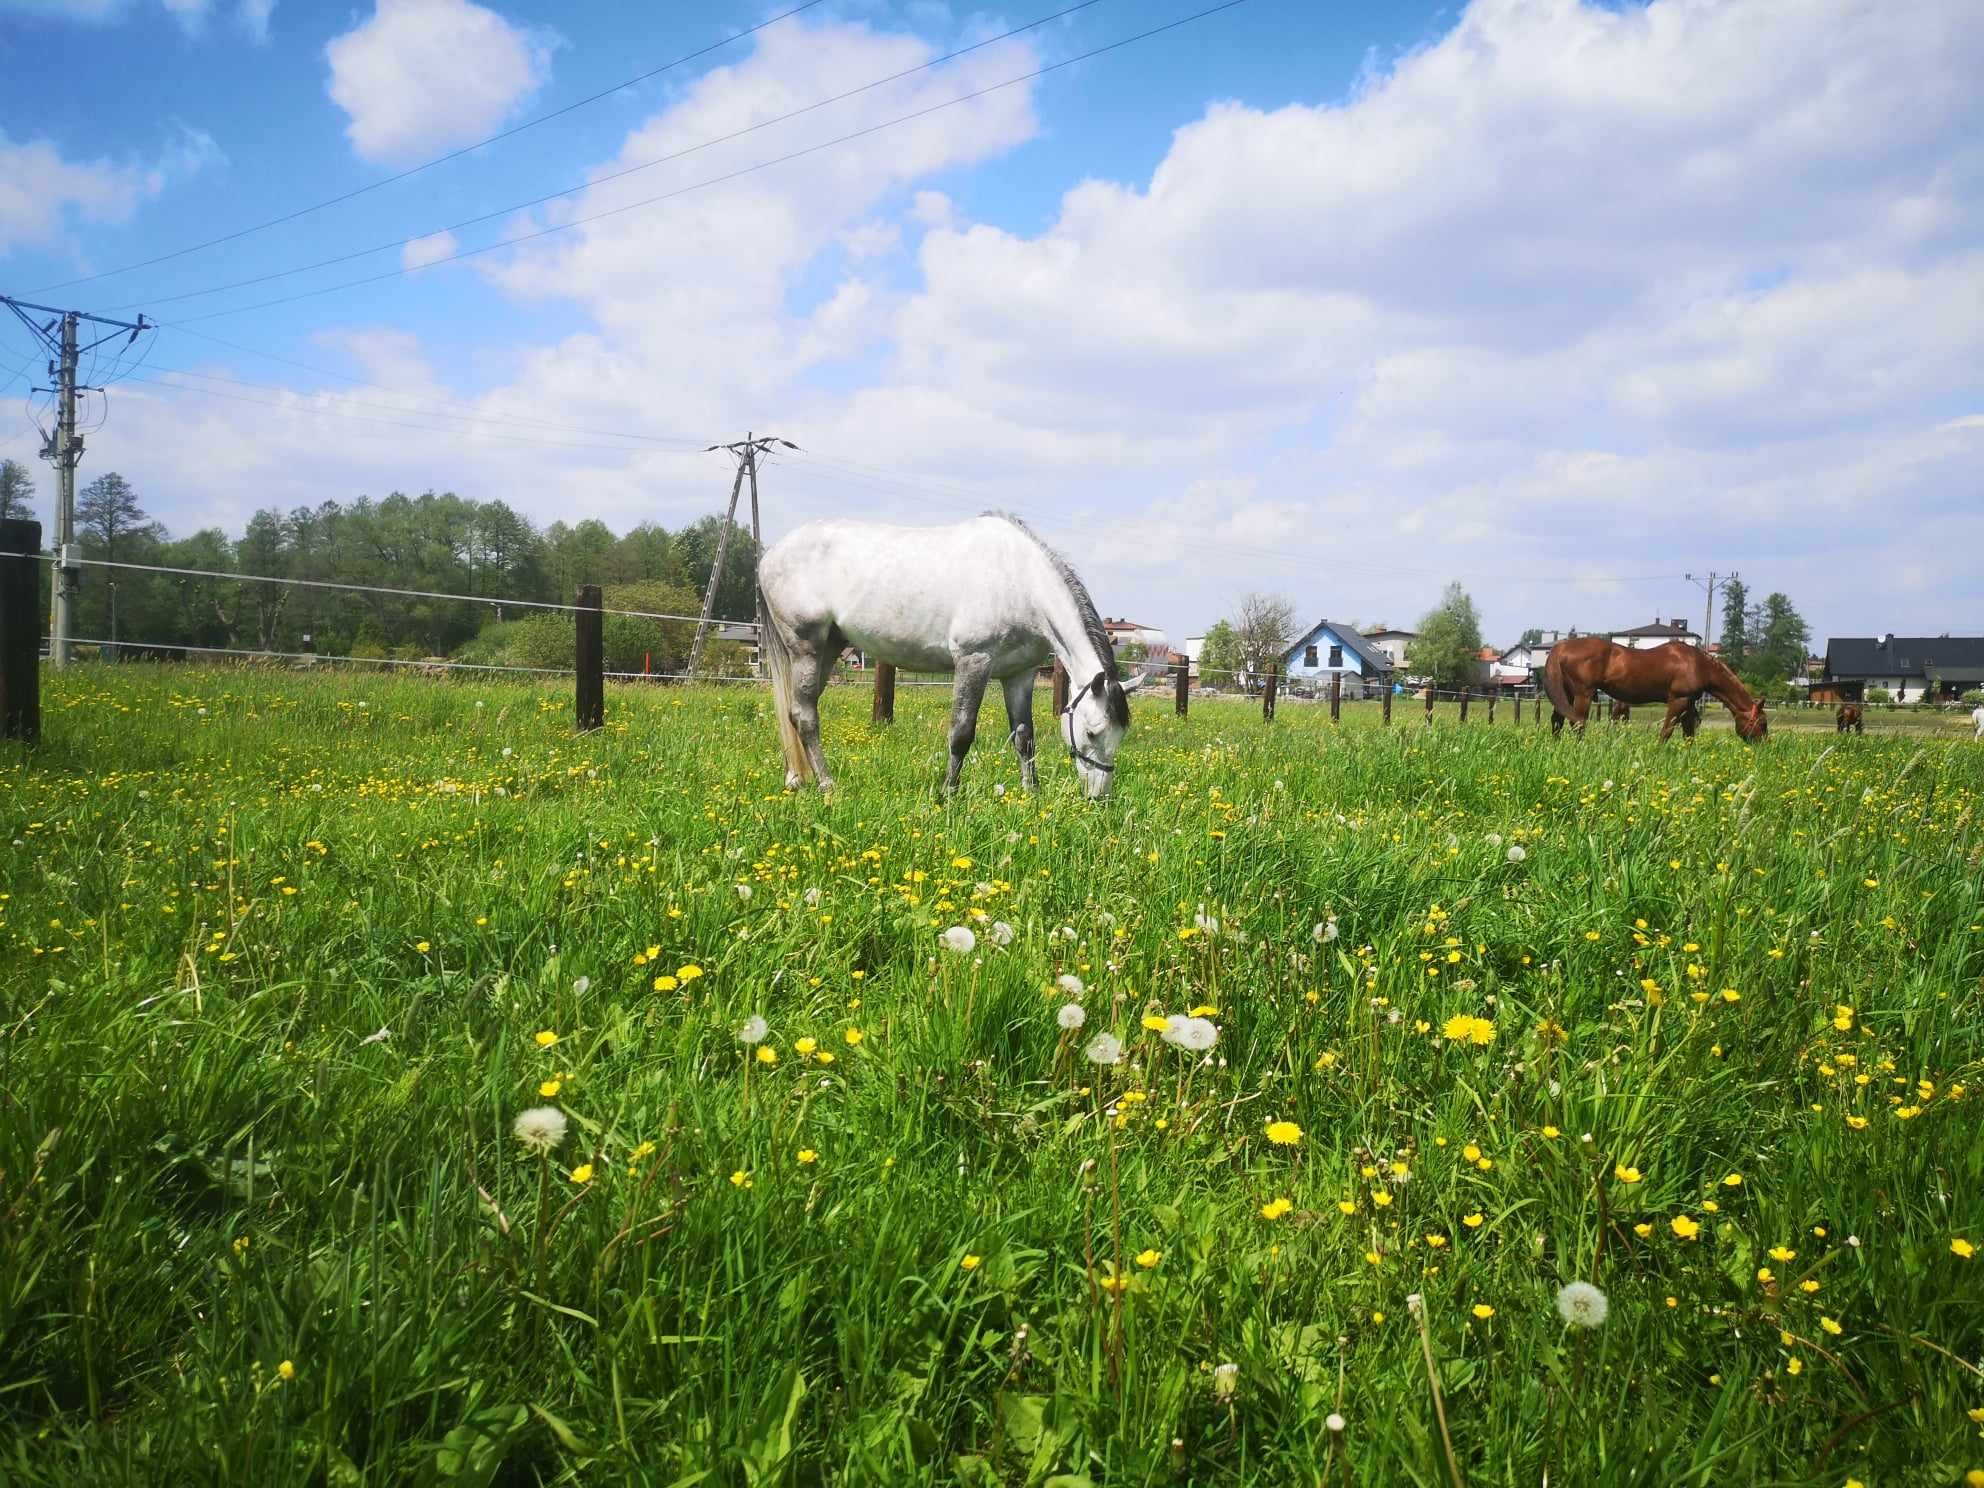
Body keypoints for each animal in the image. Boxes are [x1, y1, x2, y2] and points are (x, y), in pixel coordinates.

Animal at [753, 511, 1142, 797]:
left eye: (1120, 735)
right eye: (1092, 732)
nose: (1099, 797)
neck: (1020, 581)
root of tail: (769, 556)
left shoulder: (1020, 674)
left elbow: (1024, 736)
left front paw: (1032, 794)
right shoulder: (973, 661)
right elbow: (961, 732)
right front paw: (948, 793)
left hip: (830, 647)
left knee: (794, 710)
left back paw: (795, 778)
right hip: (806, 647)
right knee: (805, 715)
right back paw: (827, 785)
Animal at [1539, 638, 1777, 742]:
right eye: (1763, 723)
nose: (1765, 746)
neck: (1699, 665)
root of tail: (1561, 646)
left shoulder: (1689, 704)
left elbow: (1689, 733)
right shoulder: (1678, 700)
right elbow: (1667, 731)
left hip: (1567, 693)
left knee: (1557, 721)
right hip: (1583, 694)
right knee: (1577, 723)